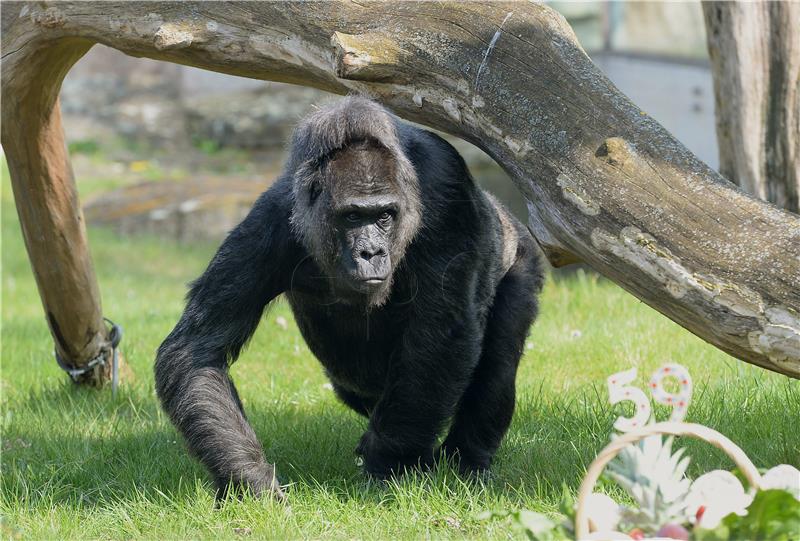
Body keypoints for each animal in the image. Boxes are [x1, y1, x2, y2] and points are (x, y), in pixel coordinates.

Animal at [155, 97, 544, 498]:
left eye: (385, 215)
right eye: (353, 216)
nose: (371, 252)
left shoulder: (447, 192)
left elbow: (441, 334)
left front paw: (390, 460)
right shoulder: (269, 224)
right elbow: (197, 350)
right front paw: (249, 478)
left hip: (522, 253)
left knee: (497, 359)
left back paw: (467, 461)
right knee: (355, 389)